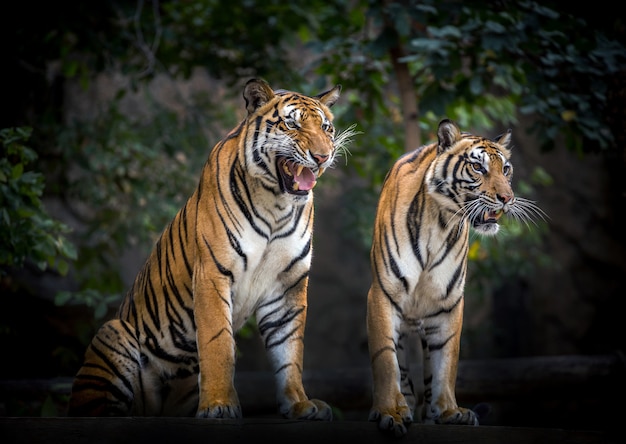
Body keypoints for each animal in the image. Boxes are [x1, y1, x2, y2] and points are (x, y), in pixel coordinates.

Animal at [67, 79, 356, 420]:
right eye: (292, 124)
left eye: (326, 127)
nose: (323, 156)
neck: (277, 205)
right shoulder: (213, 274)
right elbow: (218, 344)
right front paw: (219, 405)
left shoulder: (289, 283)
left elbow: (289, 350)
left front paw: (299, 404)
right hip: (113, 334)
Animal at [366, 119, 540, 436]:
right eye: (478, 167)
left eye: (506, 169)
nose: (507, 198)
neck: (440, 222)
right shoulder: (383, 295)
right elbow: (385, 360)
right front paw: (389, 412)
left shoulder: (448, 302)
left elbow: (446, 361)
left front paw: (449, 411)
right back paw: (404, 404)